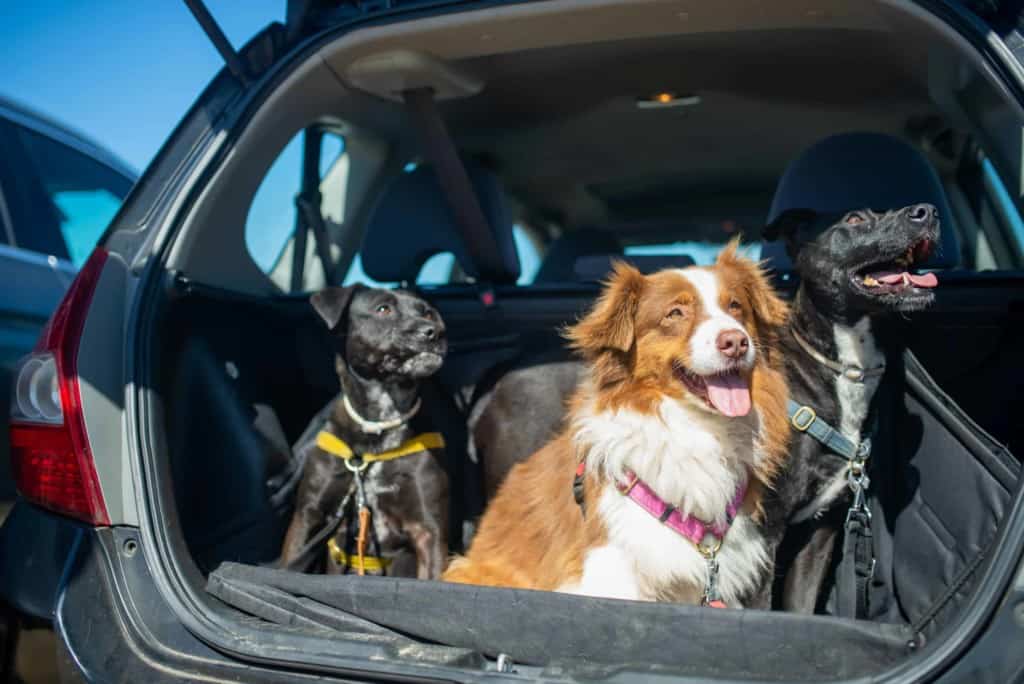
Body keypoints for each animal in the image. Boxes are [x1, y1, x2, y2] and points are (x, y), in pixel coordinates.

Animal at [280, 286, 452, 581]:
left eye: (428, 313)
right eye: (383, 309)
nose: (434, 332)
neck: (380, 426)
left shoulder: (428, 530)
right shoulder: (308, 515)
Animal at [757, 202, 937, 614]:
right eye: (854, 219)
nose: (928, 211)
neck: (848, 369)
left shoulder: (822, 528)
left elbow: (801, 606)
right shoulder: (760, 532)